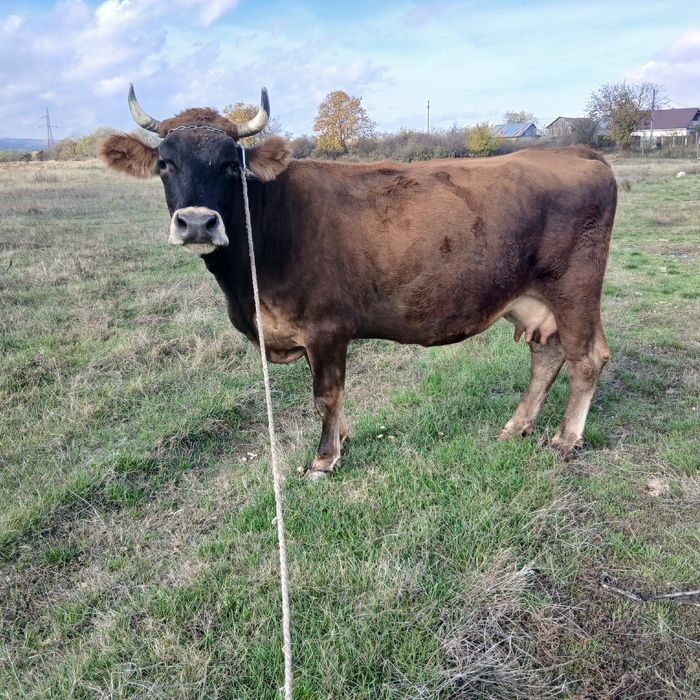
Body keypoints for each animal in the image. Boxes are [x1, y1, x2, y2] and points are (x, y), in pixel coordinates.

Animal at [100, 86, 617, 479]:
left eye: (232, 164)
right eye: (165, 162)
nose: (197, 223)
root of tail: (577, 152)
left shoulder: (326, 328)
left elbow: (325, 395)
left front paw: (324, 459)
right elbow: (335, 395)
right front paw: (344, 439)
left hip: (575, 289)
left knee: (587, 358)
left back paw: (566, 439)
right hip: (530, 298)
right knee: (547, 356)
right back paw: (517, 426)